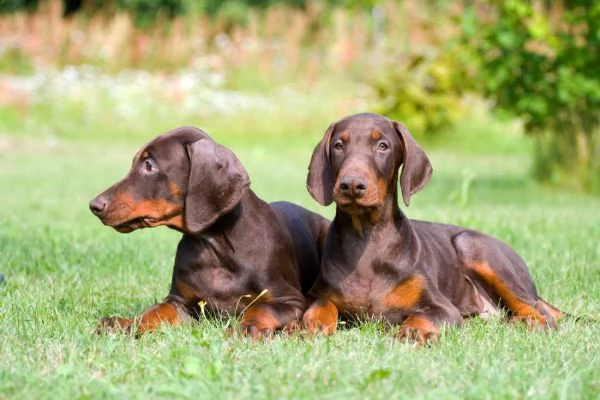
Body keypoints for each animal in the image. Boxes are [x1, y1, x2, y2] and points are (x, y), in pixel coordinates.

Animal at [90, 127, 328, 338]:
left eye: (149, 165)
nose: (94, 205)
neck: (215, 246)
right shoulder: (180, 303)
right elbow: (156, 310)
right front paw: (125, 323)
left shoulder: (290, 300)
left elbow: (261, 308)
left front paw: (247, 327)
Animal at [304, 113, 564, 344]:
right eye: (339, 145)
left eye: (382, 146)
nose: (351, 184)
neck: (366, 237)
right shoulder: (320, 293)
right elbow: (320, 306)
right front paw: (313, 326)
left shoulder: (442, 307)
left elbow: (422, 316)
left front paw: (414, 332)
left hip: (473, 246)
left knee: (541, 314)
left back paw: (526, 322)